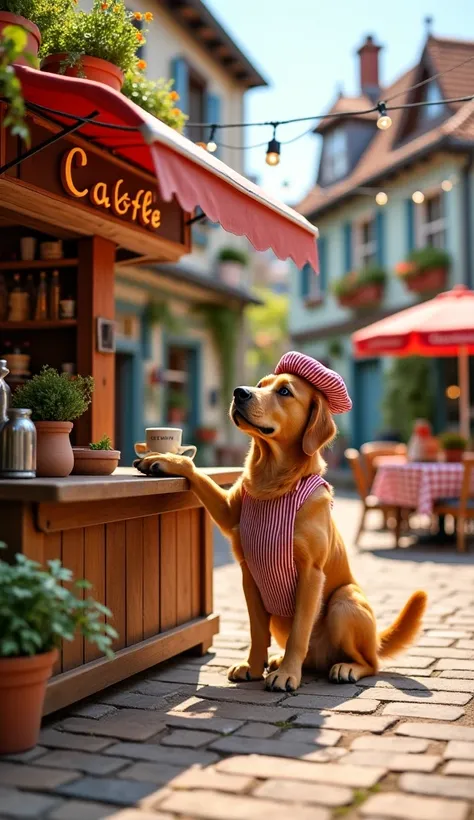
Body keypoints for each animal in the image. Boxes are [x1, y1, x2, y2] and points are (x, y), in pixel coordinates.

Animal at [143, 366, 428, 692]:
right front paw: (166, 460)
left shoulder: (310, 574)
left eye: (284, 391)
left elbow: (299, 632)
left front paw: (288, 673)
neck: (273, 481)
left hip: (345, 601)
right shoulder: (242, 555)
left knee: (372, 663)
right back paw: (280, 661)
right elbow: (256, 632)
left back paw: (345, 667)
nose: (239, 392)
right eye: (260, 384)